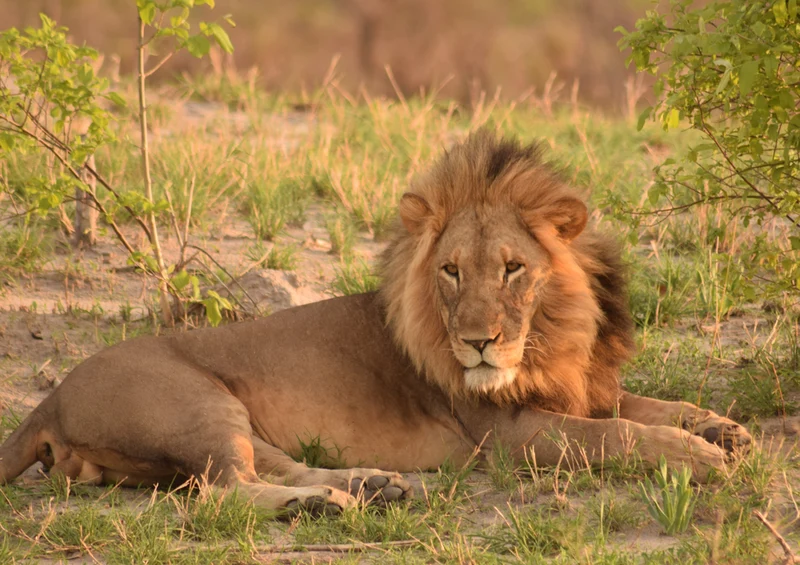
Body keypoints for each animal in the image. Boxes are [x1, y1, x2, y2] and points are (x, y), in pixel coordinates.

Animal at [0, 130, 751, 516]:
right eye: (451, 271)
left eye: (513, 268)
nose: (478, 343)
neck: (554, 333)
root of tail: (50, 397)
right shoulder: (507, 433)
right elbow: (619, 433)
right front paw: (699, 458)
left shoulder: (583, 388)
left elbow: (648, 404)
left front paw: (723, 429)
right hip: (194, 402)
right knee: (222, 492)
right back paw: (320, 507)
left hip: (225, 418)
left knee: (267, 465)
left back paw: (371, 485)